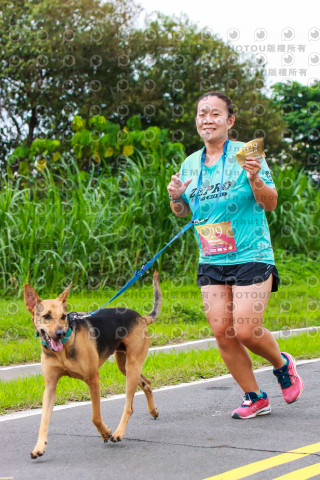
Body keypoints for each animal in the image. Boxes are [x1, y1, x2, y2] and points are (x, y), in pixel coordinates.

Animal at [23, 270, 161, 458]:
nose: (59, 333)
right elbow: (44, 420)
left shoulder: (93, 379)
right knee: (147, 382)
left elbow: (95, 417)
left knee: (129, 406)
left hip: (132, 366)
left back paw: (118, 433)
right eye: (46, 316)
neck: (65, 346)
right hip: (123, 364)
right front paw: (39, 447)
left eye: (63, 317)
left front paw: (105, 432)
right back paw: (153, 411)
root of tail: (141, 317)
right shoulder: (50, 387)